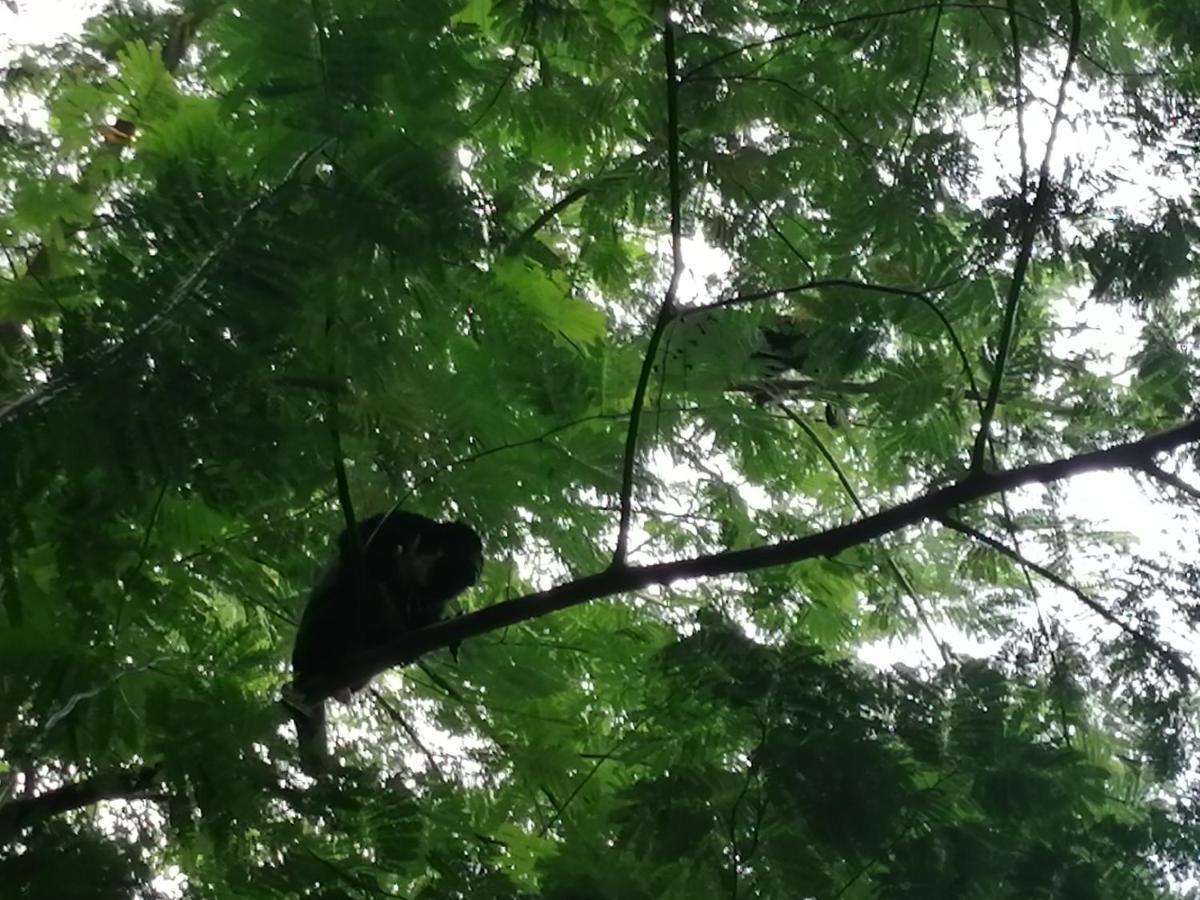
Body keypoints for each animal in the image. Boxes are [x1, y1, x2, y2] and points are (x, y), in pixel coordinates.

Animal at [285, 511, 482, 763]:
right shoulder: (410, 523)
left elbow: (423, 616)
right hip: (313, 638)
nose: (477, 569)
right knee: (350, 592)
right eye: (471, 553)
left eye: (479, 560)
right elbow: (354, 539)